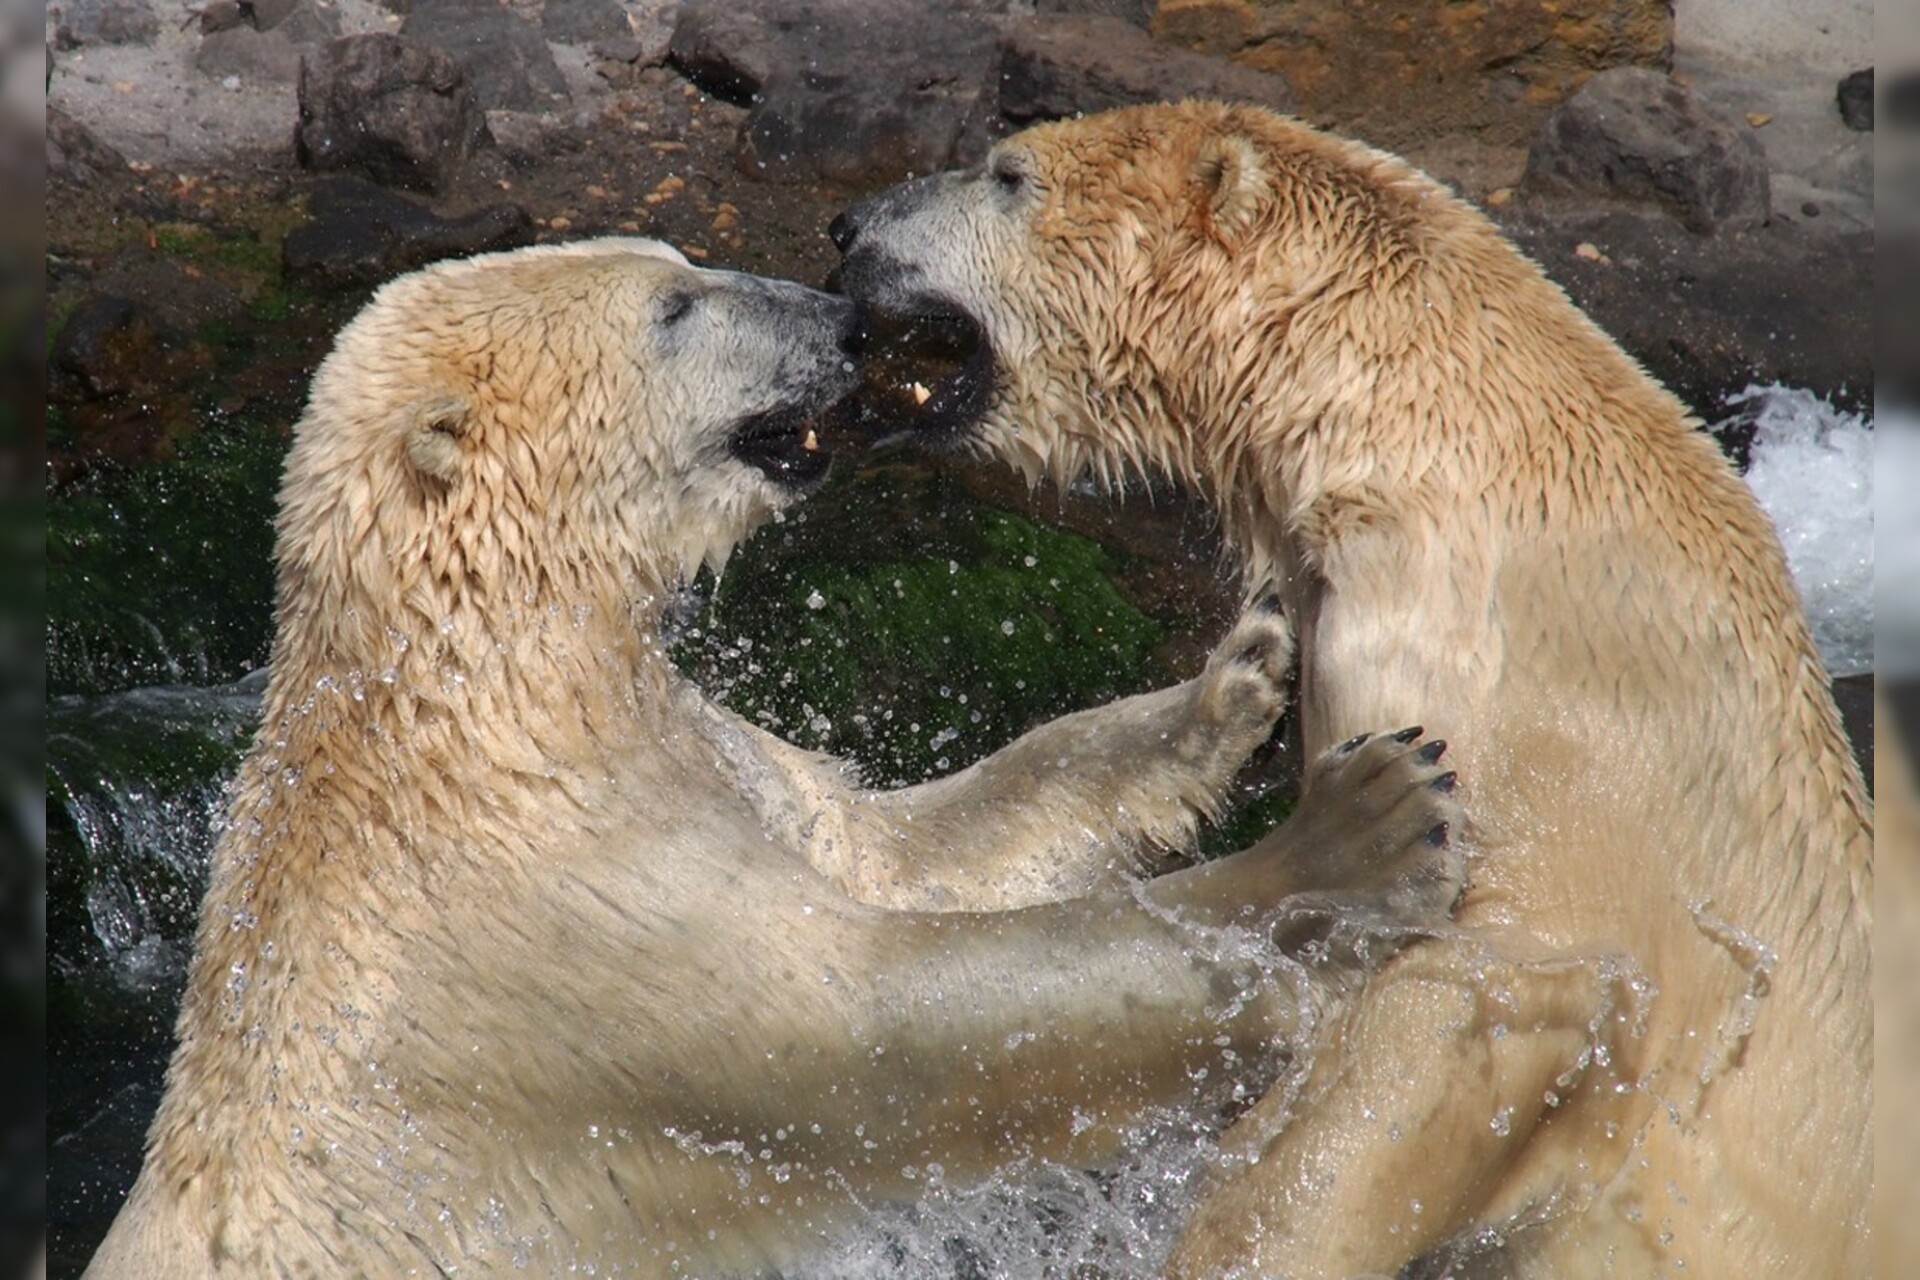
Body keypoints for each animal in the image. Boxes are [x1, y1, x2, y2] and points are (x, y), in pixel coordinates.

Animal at [71, 239, 1451, 1280]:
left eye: (683, 259)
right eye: (675, 304)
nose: (847, 320)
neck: (476, 701)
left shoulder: (686, 760)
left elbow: (901, 843)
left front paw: (1244, 672)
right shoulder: (562, 922)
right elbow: (881, 1021)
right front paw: (1355, 835)